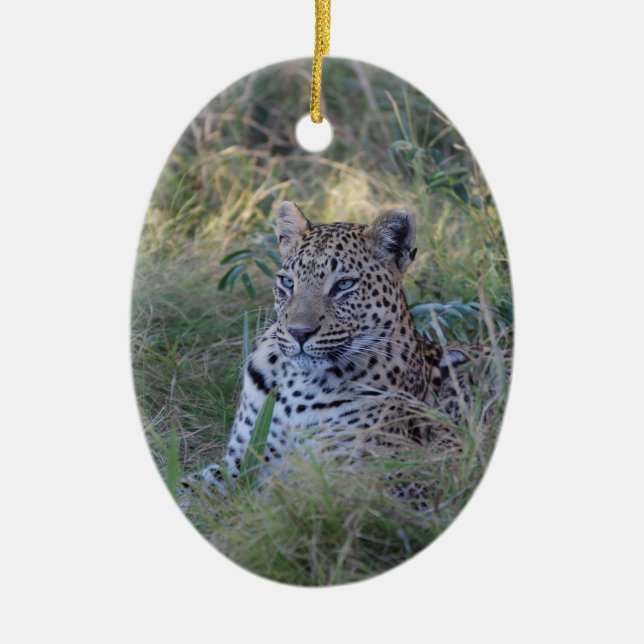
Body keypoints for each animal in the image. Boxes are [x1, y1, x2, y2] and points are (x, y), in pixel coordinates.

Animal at [184, 201, 501, 496]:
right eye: (287, 282)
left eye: (344, 285)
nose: (299, 332)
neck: (297, 386)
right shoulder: (237, 464)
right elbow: (189, 487)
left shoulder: (367, 478)